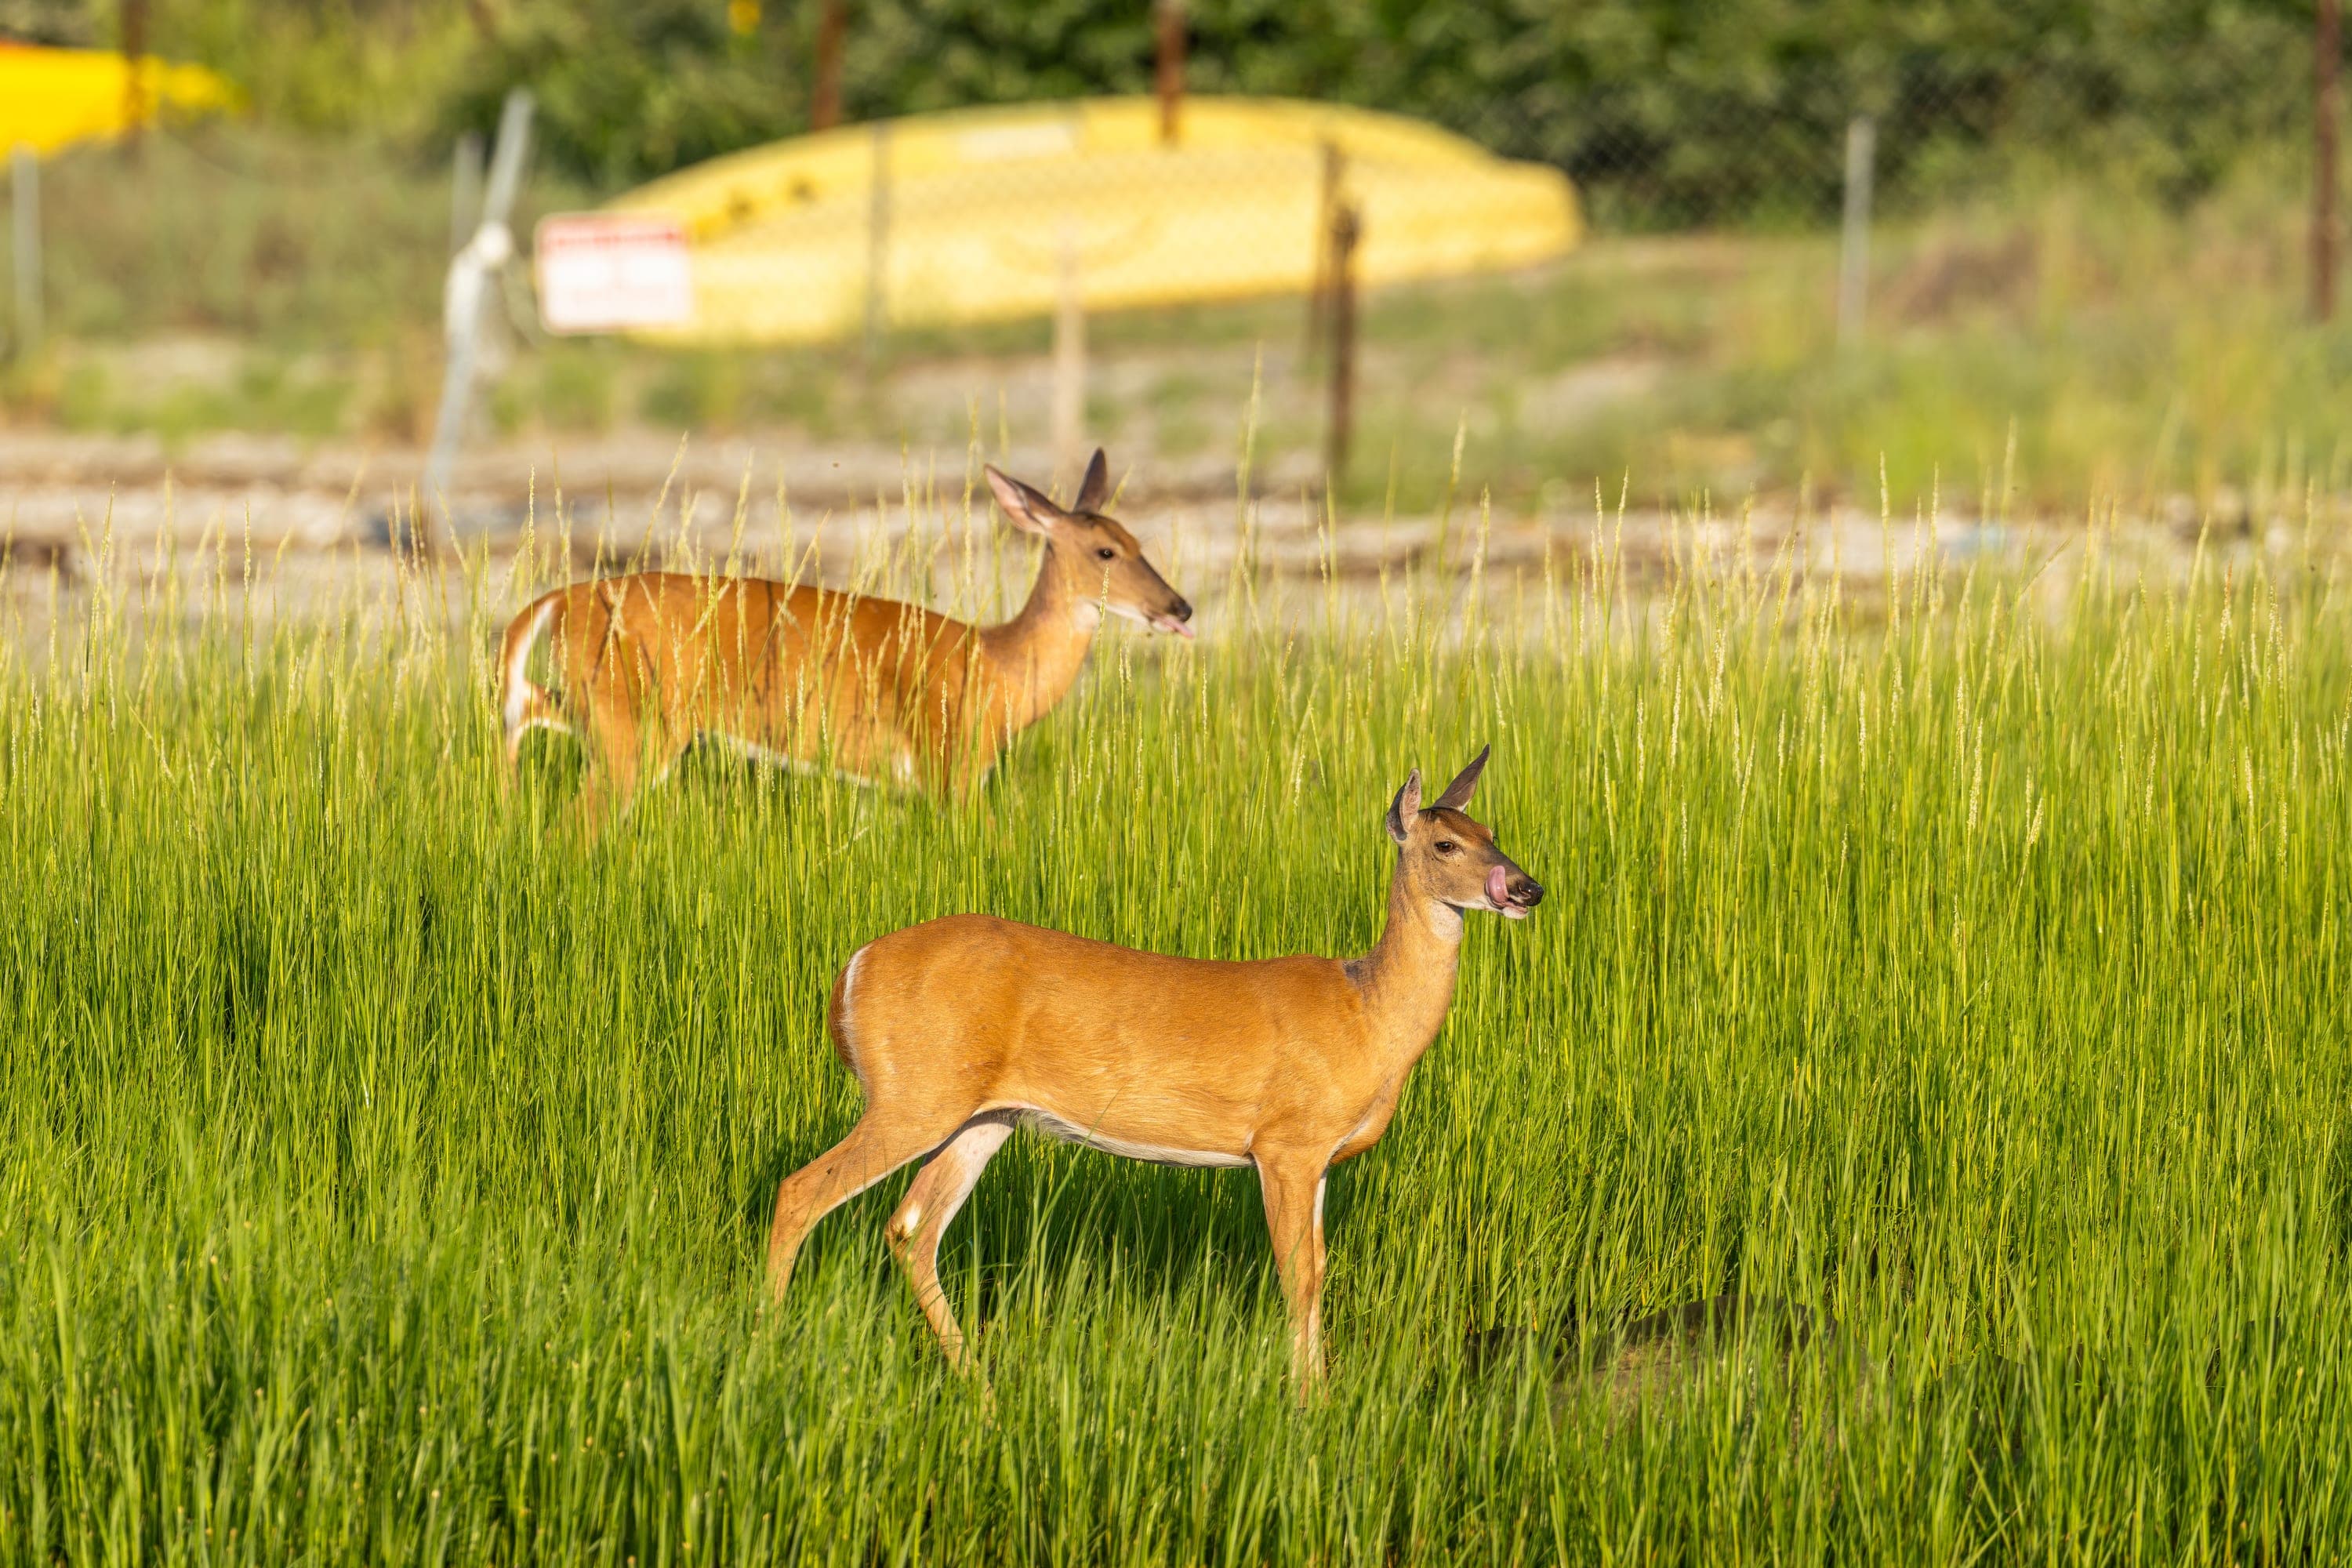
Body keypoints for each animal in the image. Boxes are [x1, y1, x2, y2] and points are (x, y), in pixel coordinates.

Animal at [494, 450, 1192, 828]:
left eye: (1138, 539)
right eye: (1106, 551)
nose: (1179, 606)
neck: (1000, 666)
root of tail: (560, 600)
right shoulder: (951, 761)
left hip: (604, 705)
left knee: (530, 707)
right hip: (633, 726)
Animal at [762, 746, 1543, 1396]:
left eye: (1492, 831)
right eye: (1445, 843)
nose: (1526, 888)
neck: (1367, 1017)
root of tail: (852, 972)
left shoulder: (1321, 1157)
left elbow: (1318, 1271)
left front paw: (1320, 1396)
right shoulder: (1285, 1143)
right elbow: (1298, 1274)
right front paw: (1304, 1406)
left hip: (985, 1114)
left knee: (911, 1228)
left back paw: (982, 1388)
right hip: (915, 1092)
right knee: (802, 1190)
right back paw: (769, 1339)